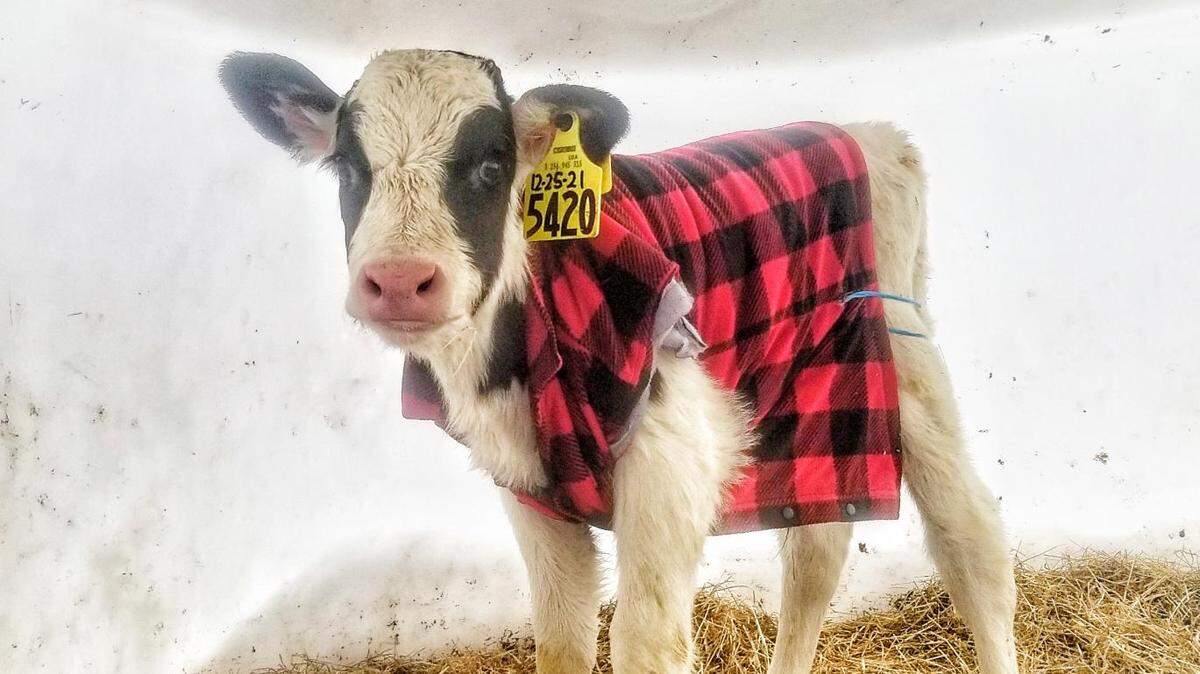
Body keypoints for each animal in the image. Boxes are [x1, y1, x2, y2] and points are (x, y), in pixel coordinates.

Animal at [218, 49, 1018, 674]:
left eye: (490, 164)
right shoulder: (532, 487)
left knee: (971, 541)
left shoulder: (672, 458)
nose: (399, 279)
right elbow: (563, 640)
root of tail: (870, 135)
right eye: (348, 168)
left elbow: (644, 644)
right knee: (816, 552)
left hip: (903, 362)